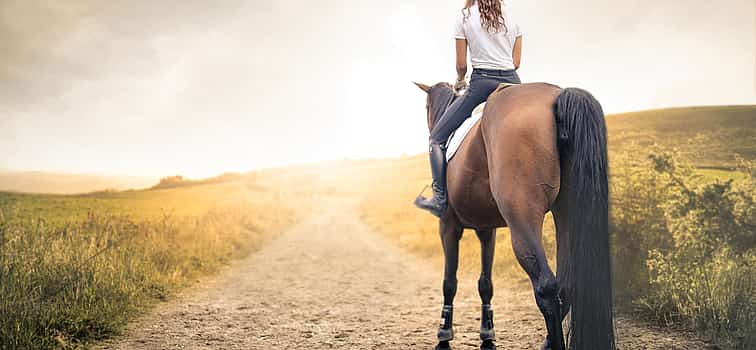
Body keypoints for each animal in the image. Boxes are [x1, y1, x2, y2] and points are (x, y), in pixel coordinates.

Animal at [414, 80, 616, 350]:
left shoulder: (448, 227)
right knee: (568, 285)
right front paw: (487, 335)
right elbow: (485, 284)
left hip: (523, 219)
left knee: (546, 287)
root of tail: (558, 96)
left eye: (426, 107)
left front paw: (444, 336)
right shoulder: (486, 230)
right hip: (568, 212)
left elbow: (449, 282)